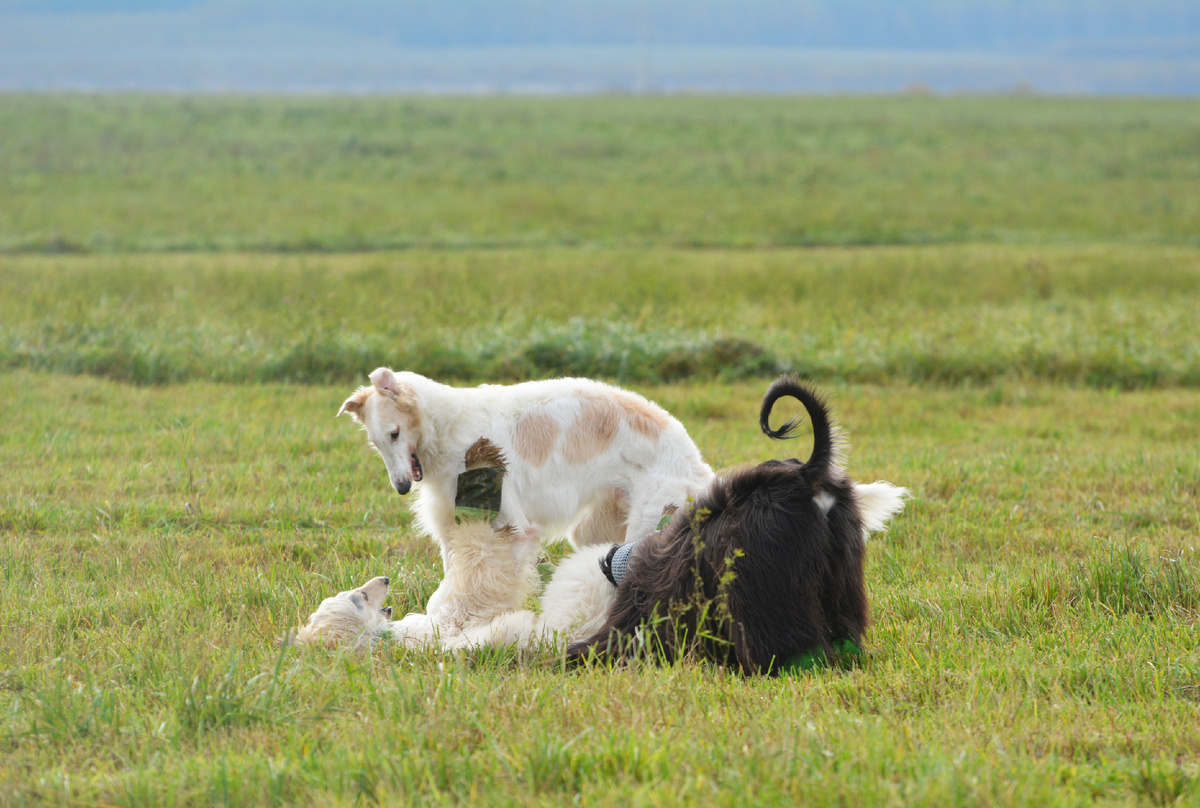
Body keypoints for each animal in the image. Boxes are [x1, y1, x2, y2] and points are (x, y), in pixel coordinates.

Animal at [336, 369, 710, 643]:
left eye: (395, 433)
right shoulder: (453, 526)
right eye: (377, 442)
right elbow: (447, 586)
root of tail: (698, 464)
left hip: (647, 521)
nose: (401, 487)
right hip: (594, 530)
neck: (450, 425)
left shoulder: (512, 529)